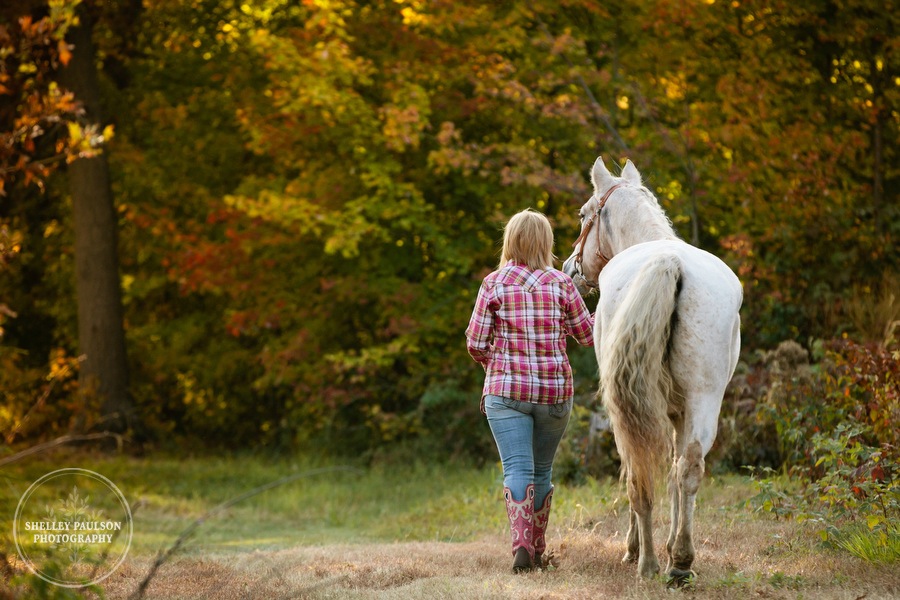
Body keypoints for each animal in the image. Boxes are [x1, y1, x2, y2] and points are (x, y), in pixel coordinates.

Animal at [568, 157, 740, 584]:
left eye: (583, 214)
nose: (569, 267)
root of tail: (669, 262)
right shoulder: (679, 411)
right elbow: (677, 474)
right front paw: (672, 546)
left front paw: (636, 549)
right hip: (704, 398)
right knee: (689, 467)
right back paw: (680, 562)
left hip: (630, 410)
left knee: (638, 473)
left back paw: (644, 561)